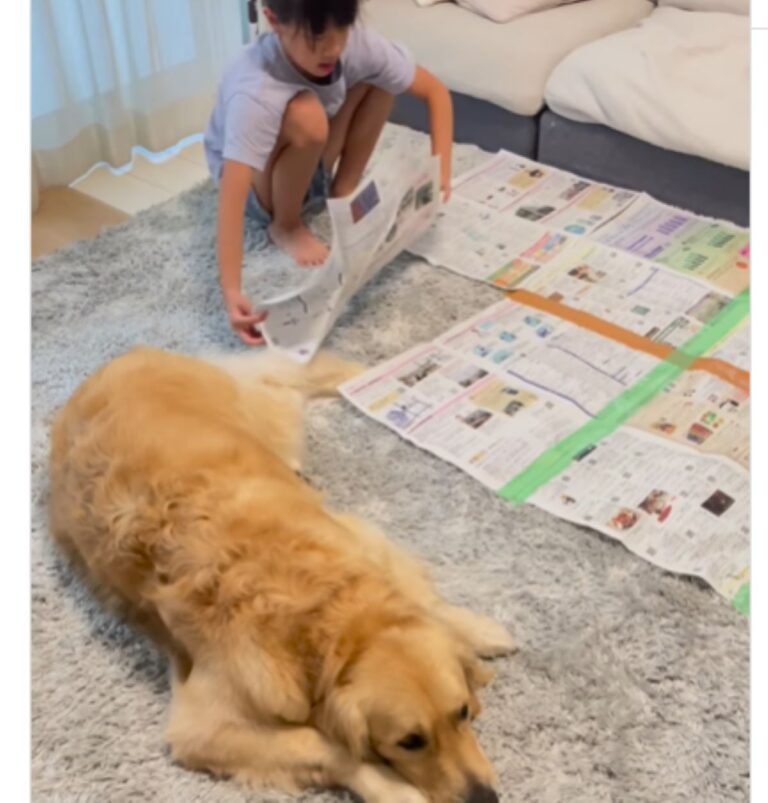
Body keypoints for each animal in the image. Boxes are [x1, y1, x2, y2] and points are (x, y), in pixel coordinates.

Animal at [48, 347, 515, 802]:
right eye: (410, 742)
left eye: (462, 712)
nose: (484, 798)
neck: (325, 615)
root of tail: (114, 362)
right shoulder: (202, 726)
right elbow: (323, 746)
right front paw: (392, 787)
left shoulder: (358, 536)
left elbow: (423, 598)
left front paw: (479, 631)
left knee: (287, 372)